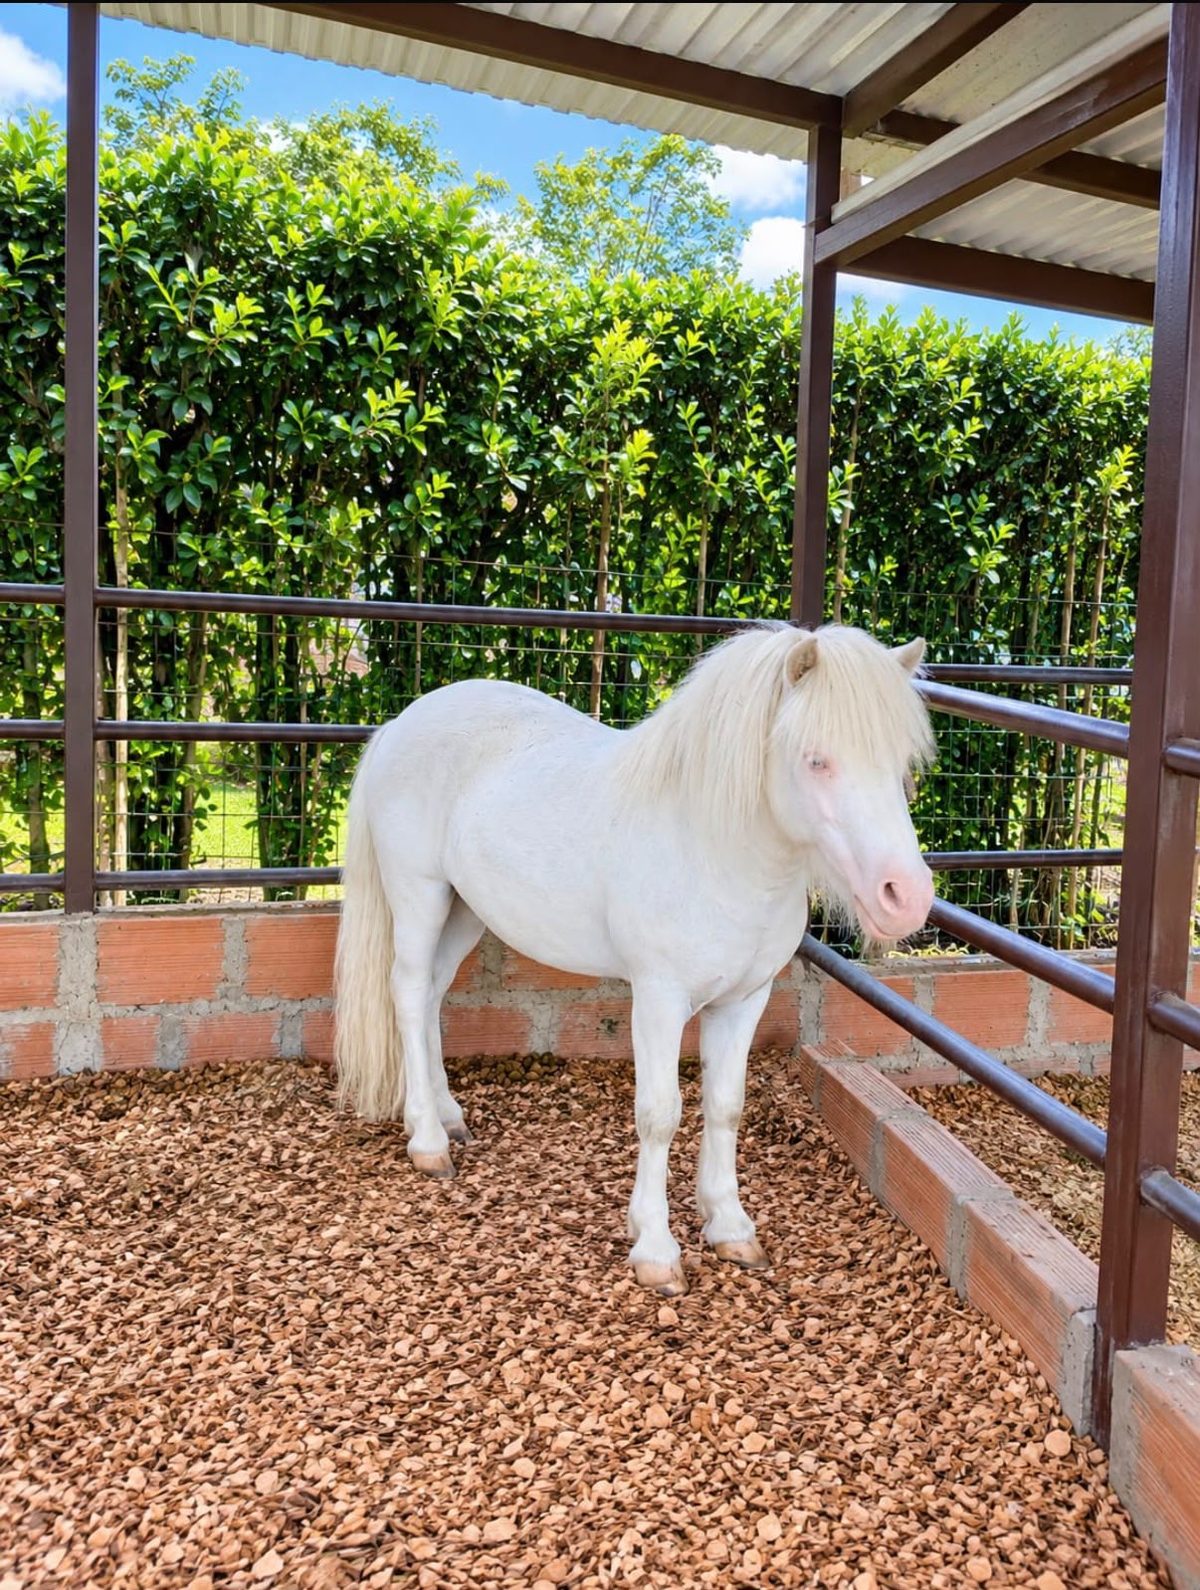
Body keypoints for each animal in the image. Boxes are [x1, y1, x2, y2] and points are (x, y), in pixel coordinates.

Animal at [334, 621, 936, 1296]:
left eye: (903, 764)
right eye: (816, 759)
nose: (906, 897)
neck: (712, 848)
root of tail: (400, 722)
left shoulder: (744, 1000)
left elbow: (725, 1107)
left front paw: (730, 1227)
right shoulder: (659, 999)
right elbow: (660, 1115)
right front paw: (655, 1248)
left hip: (465, 908)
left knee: (435, 994)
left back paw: (448, 1115)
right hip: (420, 896)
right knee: (410, 994)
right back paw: (429, 1141)